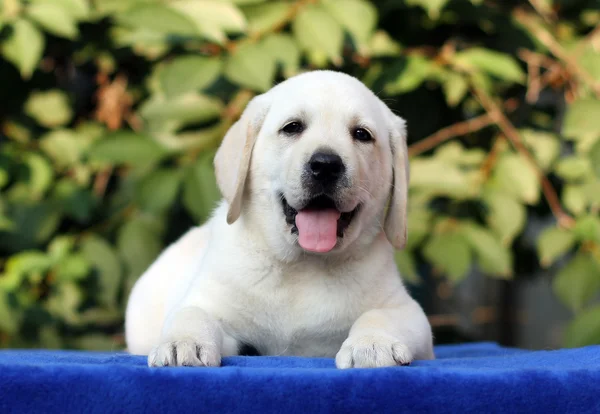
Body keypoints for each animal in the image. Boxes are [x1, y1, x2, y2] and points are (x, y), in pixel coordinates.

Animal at [124, 69, 434, 368]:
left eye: (362, 134)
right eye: (292, 127)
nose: (326, 165)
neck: (303, 267)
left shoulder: (407, 310)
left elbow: (379, 316)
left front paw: (372, 345)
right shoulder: (206, 300)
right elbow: (192, 314)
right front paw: (183, 343)